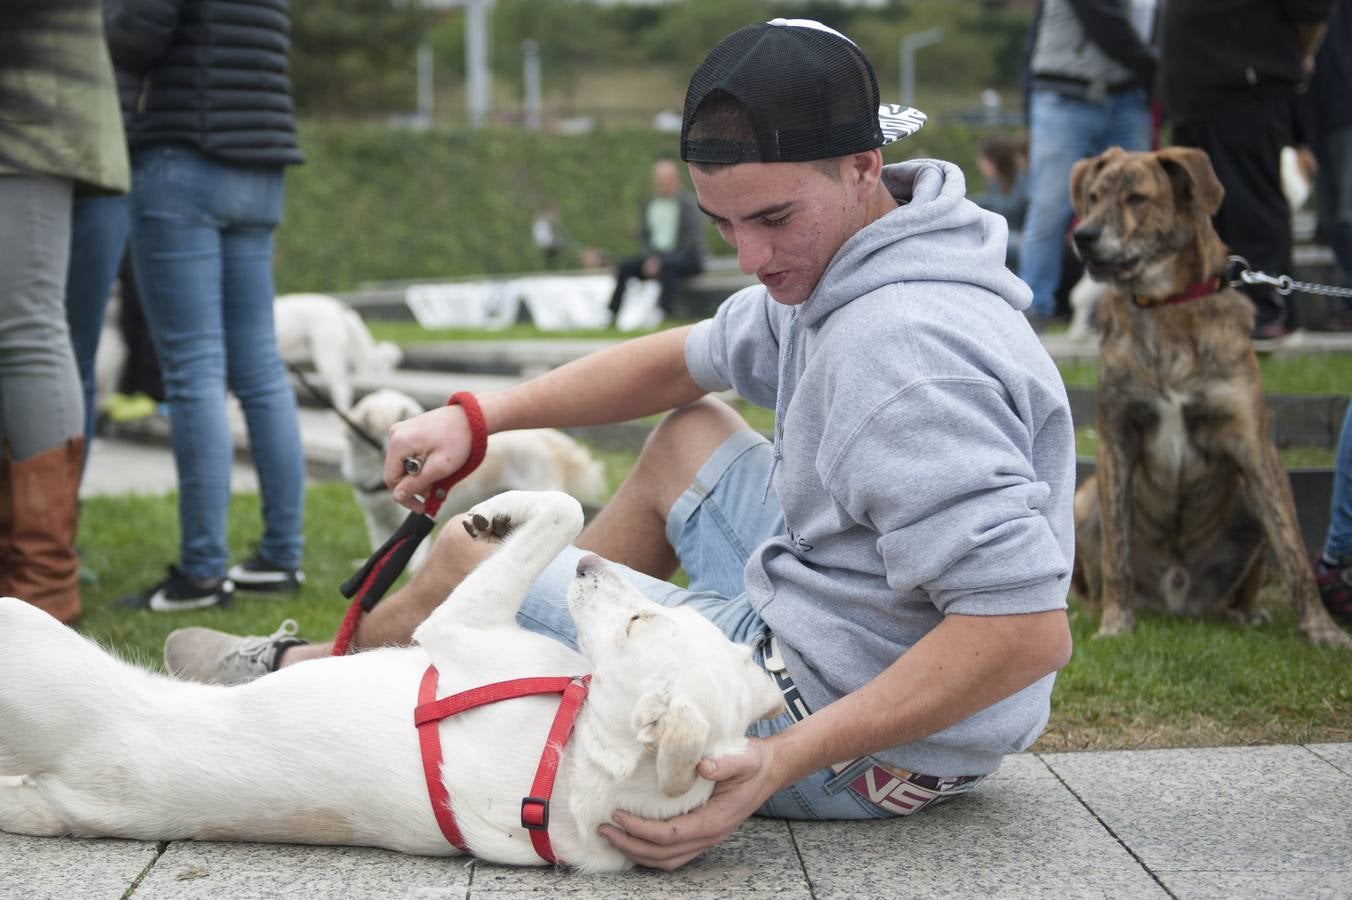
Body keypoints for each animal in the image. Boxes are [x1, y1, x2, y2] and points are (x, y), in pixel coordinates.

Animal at [0, 491, 784, 870]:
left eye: (638, 622)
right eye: (656, 613)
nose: (592, 565)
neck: (583, 752)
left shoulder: (457, 629)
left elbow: (560, 509)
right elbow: (562, 505)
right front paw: (498, 509)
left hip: (23, 634)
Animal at [343, 386, 608, 567]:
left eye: (412, 415)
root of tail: (550, 440)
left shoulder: (406, 519)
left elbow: (409, 556)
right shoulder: (376, 519)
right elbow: (380, 547)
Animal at [1065, 145, 1352, 645]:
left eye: (1137, 198)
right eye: (1094, 196)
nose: (1083, 236)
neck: (1166, 307)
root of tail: (1174, 602)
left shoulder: (1254, 447)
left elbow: (1295, 551)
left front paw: (1322, 630)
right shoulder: (1117, 439)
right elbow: (1117, 554)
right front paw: (1116, 625)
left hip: (1247, 500)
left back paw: (1245, 614)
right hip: (1085, 497)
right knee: (1096, 578)